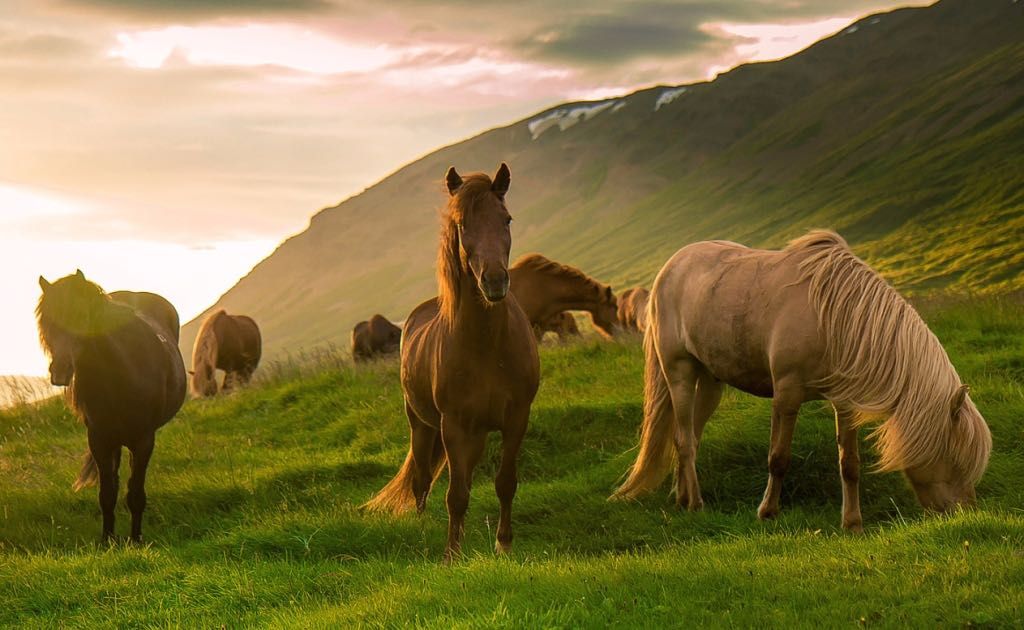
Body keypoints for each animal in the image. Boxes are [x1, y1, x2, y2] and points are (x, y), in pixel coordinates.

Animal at [35, 270, 186, 540]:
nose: (60, 371)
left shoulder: (144, 440)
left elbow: (135, 494)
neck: (122, 372)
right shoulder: (99, 440)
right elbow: (107, 495)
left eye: (80, 315)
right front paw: (107, 541)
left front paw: (135, 540)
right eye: (47, 323)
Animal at [362, 162, 540, 561]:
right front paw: (451, 554)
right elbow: (455, 495)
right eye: (461, 224)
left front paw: (503, 543)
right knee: (422, 480)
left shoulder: (516, 418)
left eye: (506, 219)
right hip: (422, 425)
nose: (494, 281)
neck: (487, 347)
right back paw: (423, 526)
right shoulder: (454, 426)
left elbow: (505, 482)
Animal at [610, 231, 987, 532]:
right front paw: (768, 511)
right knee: (684, 439)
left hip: (711, 381)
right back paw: (696, 504)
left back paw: (681, 496)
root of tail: (670, 266)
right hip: (680, 372)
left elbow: (849, 464)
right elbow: (779, 458)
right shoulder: (786, 396)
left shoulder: (845, 404)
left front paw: (852, 522)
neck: (835, 319)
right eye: (955, 458)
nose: (965, 513)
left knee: (689, 434)